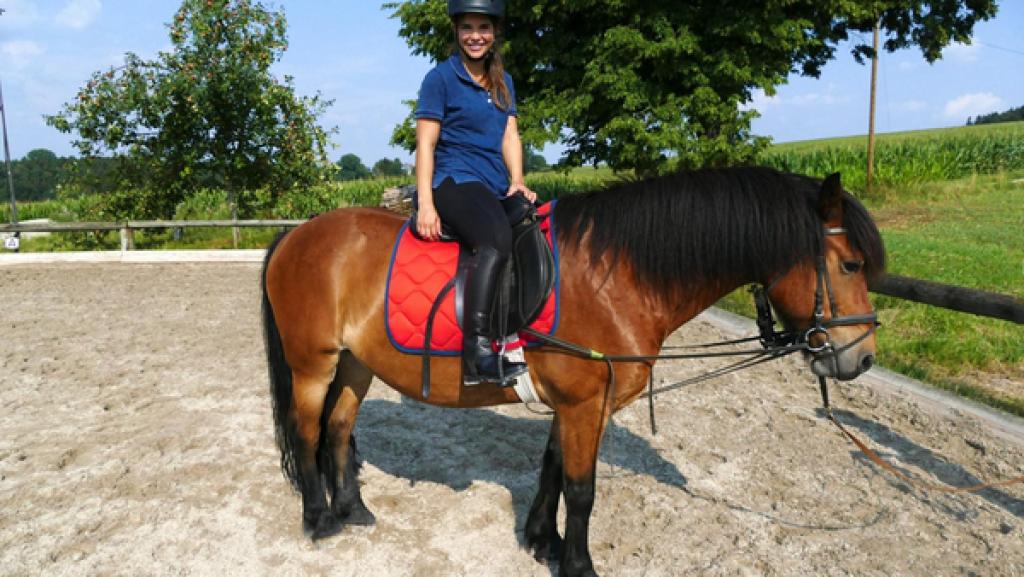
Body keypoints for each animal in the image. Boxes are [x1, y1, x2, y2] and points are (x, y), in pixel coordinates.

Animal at [260, 166, 885, 577]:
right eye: (851, 265)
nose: (861, 357)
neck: (619, 277)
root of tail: (296, 233)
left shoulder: (580, 403)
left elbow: (553, 470)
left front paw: (543, 542)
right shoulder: (584, 403)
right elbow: (582, 490)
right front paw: (579, 565)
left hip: (354, 364)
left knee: (338, 429)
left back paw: (354, 510)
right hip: (312, 364)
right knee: (307, 431)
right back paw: (319, 520)